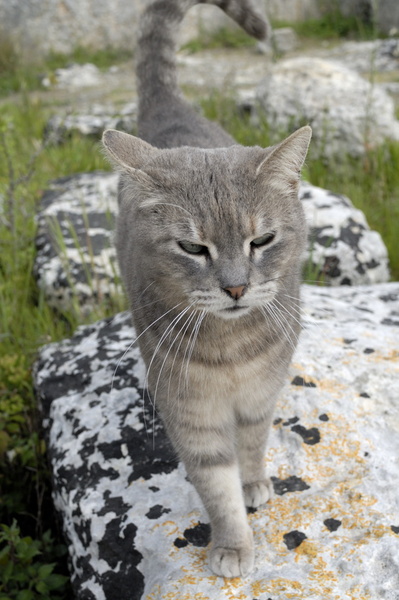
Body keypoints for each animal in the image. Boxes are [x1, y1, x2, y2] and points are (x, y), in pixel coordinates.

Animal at [102, 0, 310, 580]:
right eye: (193, 248)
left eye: (261, 240)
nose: (236, 288)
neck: (231, 350)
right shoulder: (190, 412)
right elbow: (216, 484)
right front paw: (233, 544)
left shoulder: (261, 394)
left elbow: (254, 442)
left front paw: (254, 480)